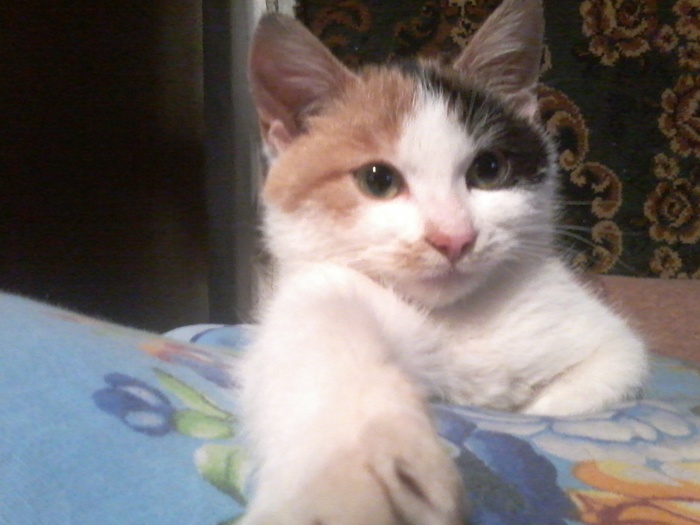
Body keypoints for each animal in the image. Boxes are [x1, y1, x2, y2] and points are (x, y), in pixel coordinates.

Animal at [238, 0, 648, 523]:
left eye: (489, 170)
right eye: (378, 180)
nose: (454, 238)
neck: (456, 320)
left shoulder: (608, 343)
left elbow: (586, 392)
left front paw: (532, 407)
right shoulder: (314, 295)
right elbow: (315, 355)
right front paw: (356, 478)